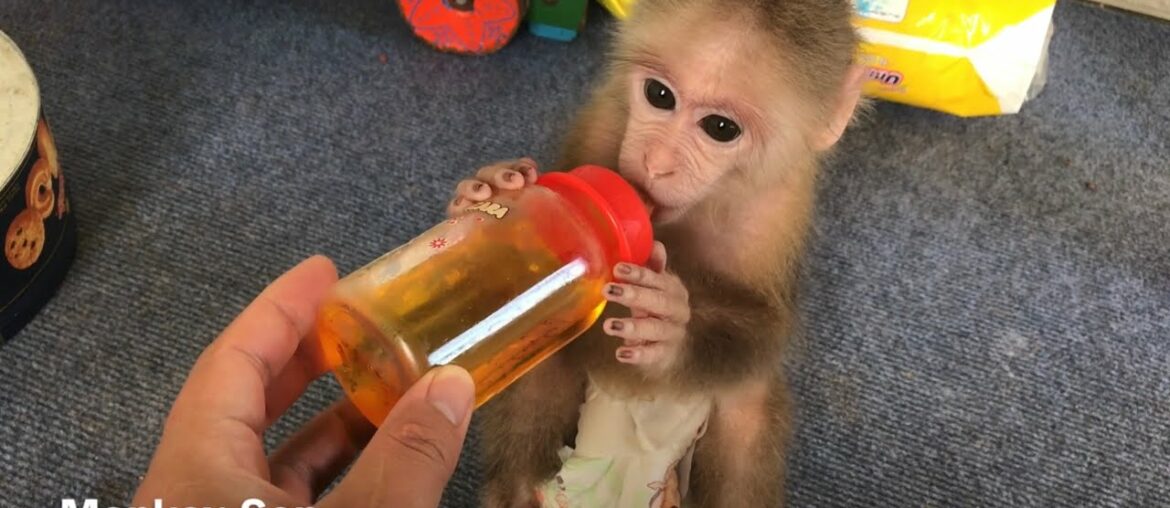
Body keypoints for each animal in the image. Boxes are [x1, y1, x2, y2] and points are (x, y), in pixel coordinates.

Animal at [446, 0, 866, 505]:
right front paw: (487, 190)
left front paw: (671, 330)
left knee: (746, 408)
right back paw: (520, 489)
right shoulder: (604, 120)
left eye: (721, 128)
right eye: (659, 95)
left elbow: (764, 332)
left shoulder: (777, 210)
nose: (655, 163)